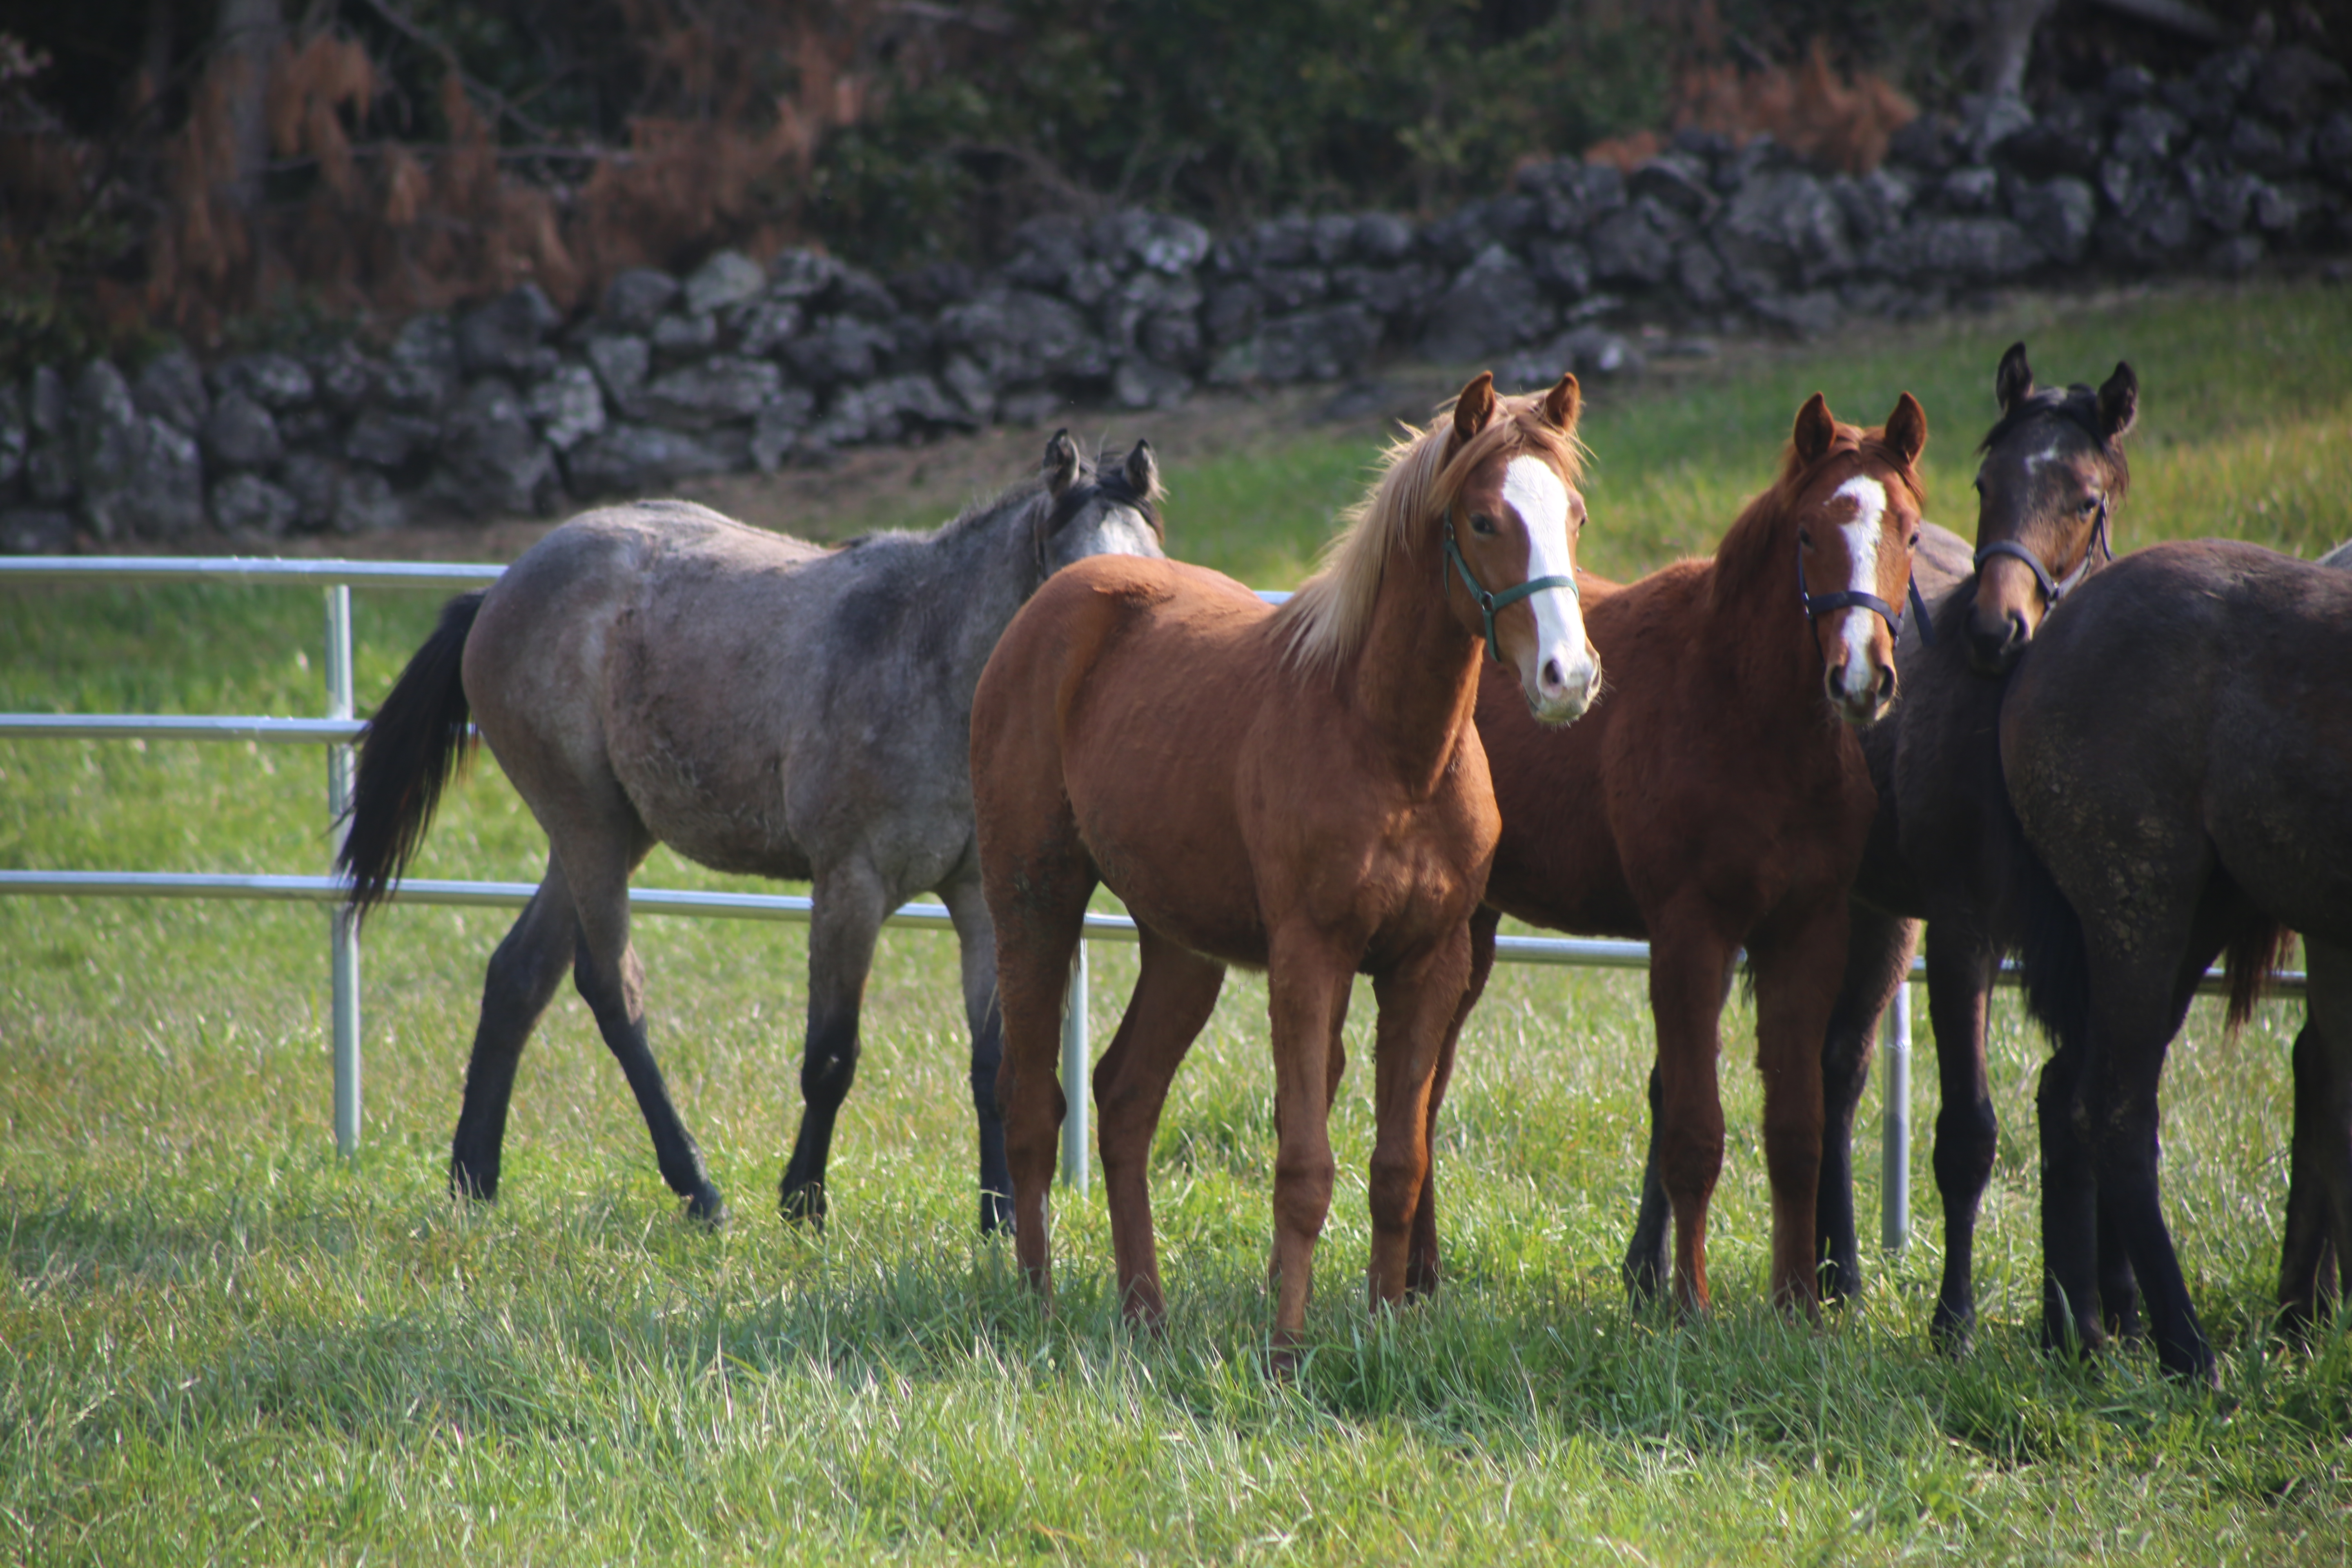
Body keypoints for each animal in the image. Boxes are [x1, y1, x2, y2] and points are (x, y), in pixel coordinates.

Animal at [341, 430, 1166, 1222]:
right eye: (1070, 579)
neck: (929, 663)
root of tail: (499, 591)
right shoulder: (850, 885)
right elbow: (831, 1057)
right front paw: (805, 1204)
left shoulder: (980, 897)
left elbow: (993, 1061)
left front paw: (998, 1219)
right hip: (587, 826)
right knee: (611, 988)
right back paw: (698, 1191)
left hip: (610, 833)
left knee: (518, 976)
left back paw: (474, 1180)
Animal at [969, 371, 1599, 1363]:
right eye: (1485, 520)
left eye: (1572, 514)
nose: (1567, 677)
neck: (1391, 749)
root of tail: (1055, 604)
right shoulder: (1312, 961)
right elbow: (1305, 1167)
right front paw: (1286, 1353)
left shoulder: (1429, 967)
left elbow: (1398, 1165)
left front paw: (1384, 1335)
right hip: (1034, 903)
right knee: (1033, 1105)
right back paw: (1038, 1304)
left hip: (1181, 949)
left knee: (1124, 1098)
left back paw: (1144, 1312)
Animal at [1439, 385, 1919, 1316]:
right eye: (1809, 534)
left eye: (1911, 533)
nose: (1860, 677)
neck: (1744, 716)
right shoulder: (1693, 933)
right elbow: (1696, 1131)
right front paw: (1689, 1305)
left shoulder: (1805, 935)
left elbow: (1798, 1129)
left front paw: (1797, 1303)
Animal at [2004, 543, 2352, 1382]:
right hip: (2141, 909)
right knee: (2115, 1110)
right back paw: (2185, 1349)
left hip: (2201, 914)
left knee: (2070, 1090)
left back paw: (2080, 1331)